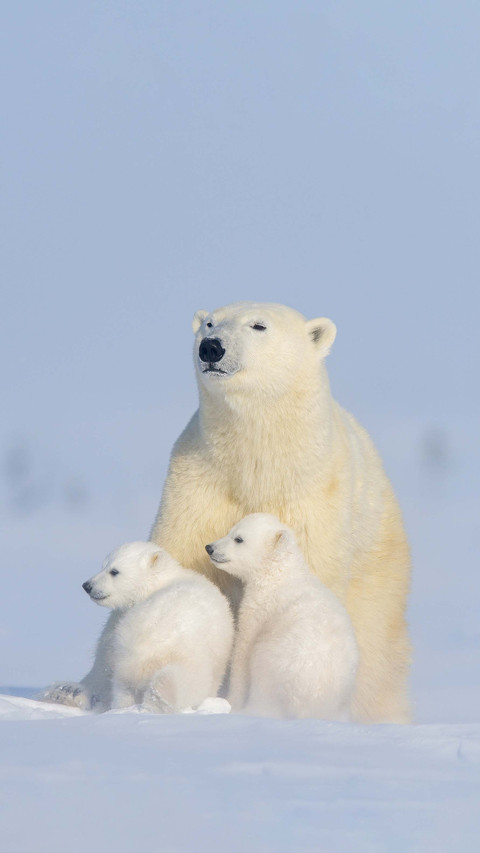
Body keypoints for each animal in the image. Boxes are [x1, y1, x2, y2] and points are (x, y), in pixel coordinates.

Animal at [206, 514, 359, 720]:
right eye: (230, 531)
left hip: (275, 666)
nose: (210, 548)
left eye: (238, 538)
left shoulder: (260, 608)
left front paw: (232, 701)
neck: (279, 574)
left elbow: (243, 650)